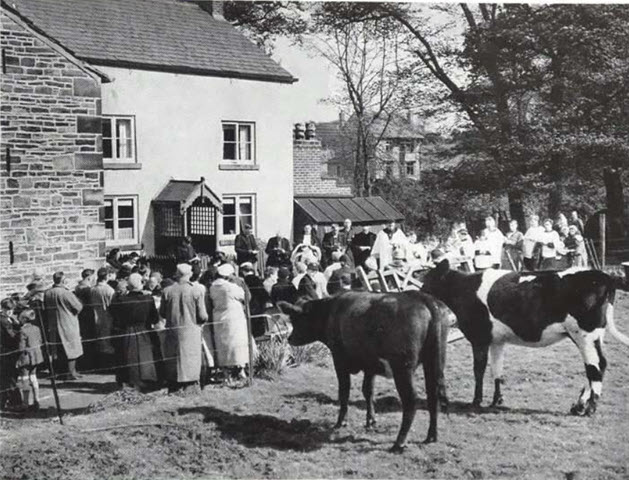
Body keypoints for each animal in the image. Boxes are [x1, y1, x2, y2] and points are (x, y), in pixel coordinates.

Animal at [420, 260, 624, 414]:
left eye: (427, 281)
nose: (418, 294)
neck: (464, 288)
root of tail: (604, 276)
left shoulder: (479, 337)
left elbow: (479, 369)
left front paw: (476, 401)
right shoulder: (497, 340)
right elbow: (497, 370)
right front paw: (497, 400)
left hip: (584, 335)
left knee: (595, 366)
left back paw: (589, 408)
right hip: (594, 336)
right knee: (600, 365)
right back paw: (579, 405)